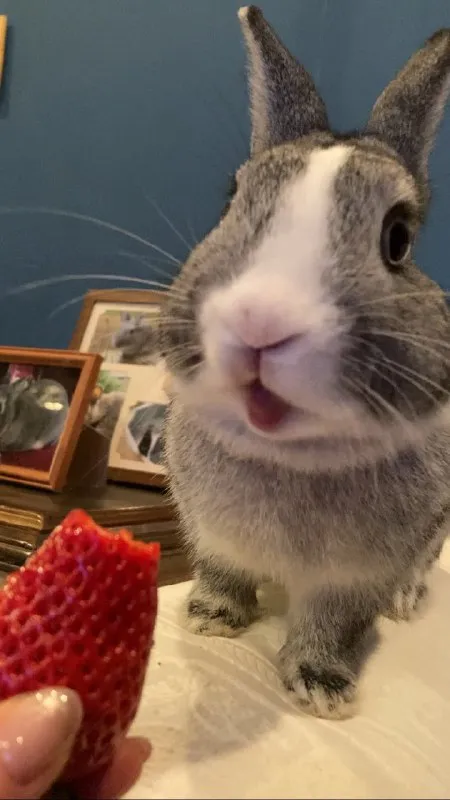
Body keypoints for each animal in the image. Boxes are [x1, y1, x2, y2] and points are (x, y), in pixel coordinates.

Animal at [160, 5, 450, 720]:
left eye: (398, 238)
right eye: (231, 201)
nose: (263, 319)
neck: (289, 453)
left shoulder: (356, 577)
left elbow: (333, 622)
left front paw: (321, 688)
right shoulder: (209, 532)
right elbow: (223, 572)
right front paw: (210, 618)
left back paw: (407, 601)